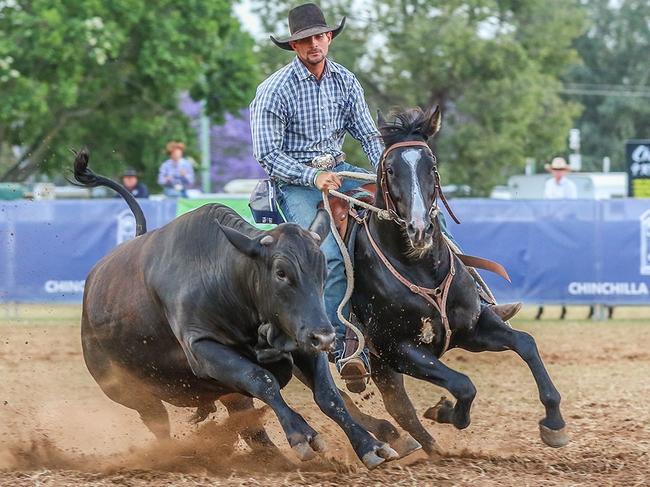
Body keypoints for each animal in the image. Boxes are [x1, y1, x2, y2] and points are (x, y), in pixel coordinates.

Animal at [74, 151, 400, 470]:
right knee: (159, 423)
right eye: (281, 272)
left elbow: (328, 396)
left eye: (323, 270)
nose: (326, 337)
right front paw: (302, 435)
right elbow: (262, 380)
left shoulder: (299, 338)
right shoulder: (203, 348)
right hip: (128, 390)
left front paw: (370, 445)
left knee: (250, 429)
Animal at [340, 105, 568, 456]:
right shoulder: (398, 349)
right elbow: (463, 384)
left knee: (395, 404)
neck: (418, 268)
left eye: (431, 166)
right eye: (390, 169)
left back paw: (415, 444)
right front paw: (443, 411)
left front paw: (554, 422)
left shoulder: (471, 328)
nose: (419, 229)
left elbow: (526, 343)